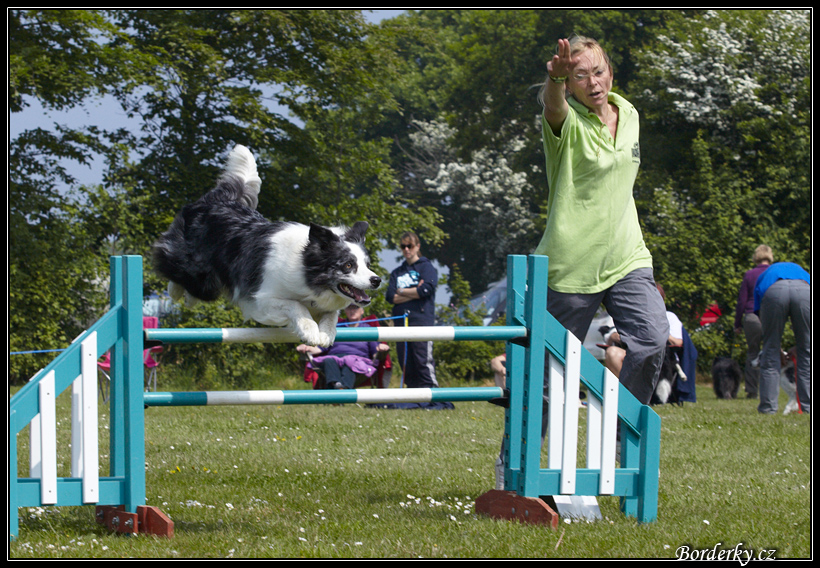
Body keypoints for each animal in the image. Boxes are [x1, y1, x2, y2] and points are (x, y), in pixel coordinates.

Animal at [153, 144, 382, 346]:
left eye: (368, 264)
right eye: (348, 265)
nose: (377, 280)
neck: (305, 269)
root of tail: (221, 199)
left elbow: (332, 314)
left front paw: (325, 334)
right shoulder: (261, 300)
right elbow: (296, 306)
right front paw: (310, 332)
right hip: (197, 270)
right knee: (175, 267)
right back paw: (176, 291)